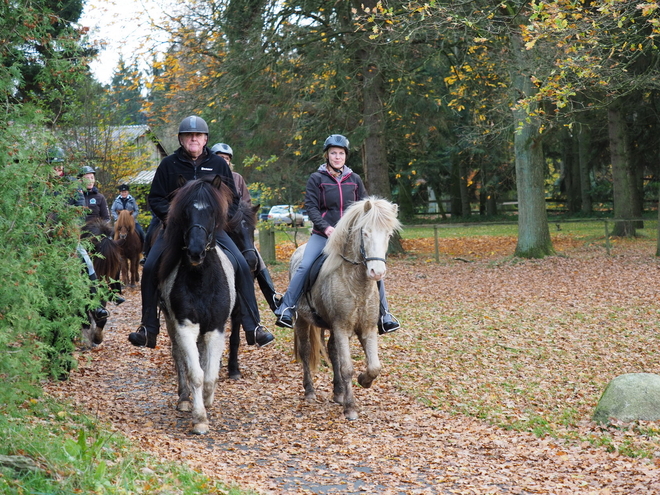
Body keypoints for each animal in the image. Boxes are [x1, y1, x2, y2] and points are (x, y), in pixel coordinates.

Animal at [158, 175, 237, 434]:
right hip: (171, 324)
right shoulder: (185, 326)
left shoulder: (215, 329)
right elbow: (196, 373)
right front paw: (199, 418)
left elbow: (210, 375)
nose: (195, 252)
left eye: (211, 211)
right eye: (185, 212)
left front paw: (208, 401)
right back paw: (184, 399)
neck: (201, 279)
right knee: (179, 357)